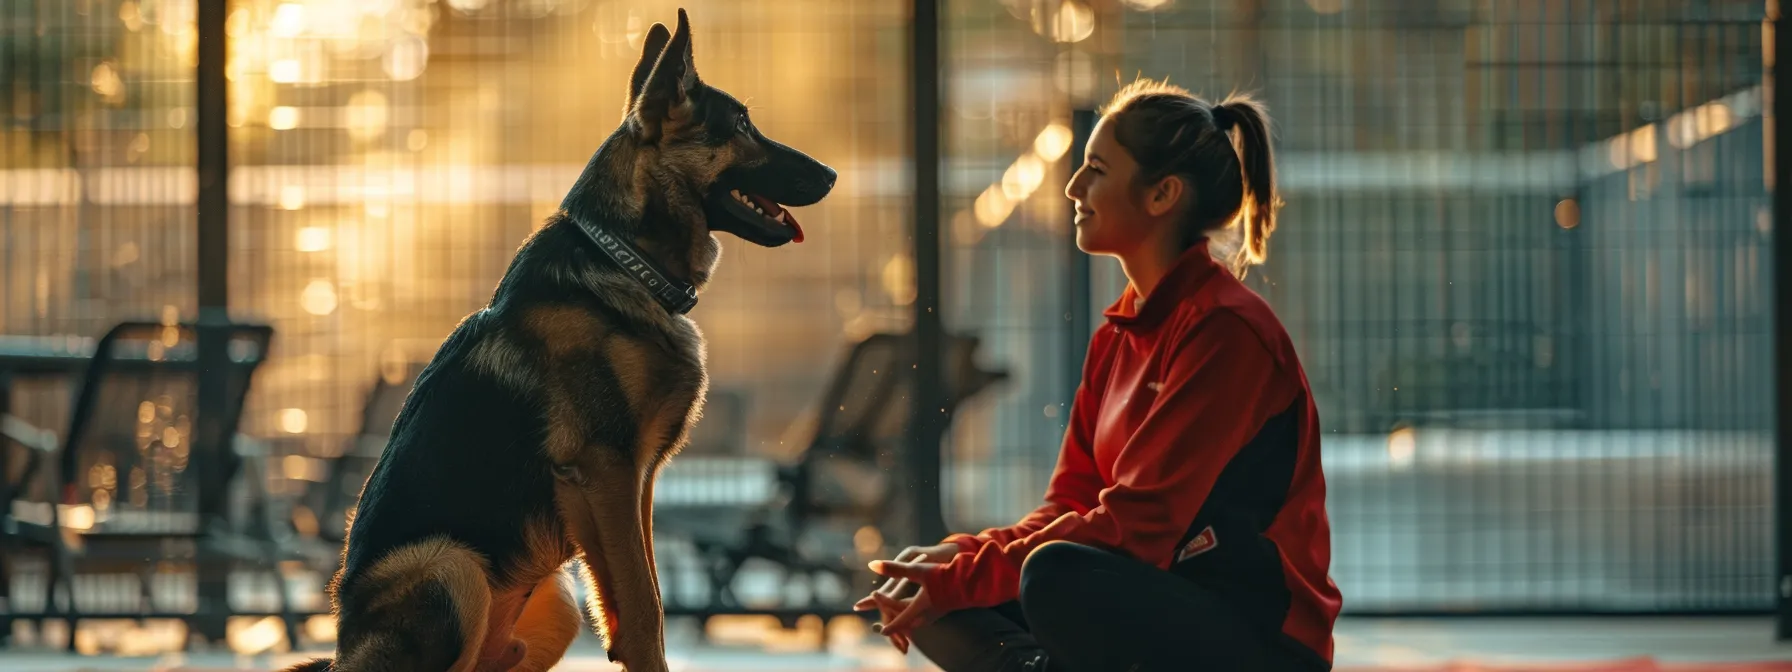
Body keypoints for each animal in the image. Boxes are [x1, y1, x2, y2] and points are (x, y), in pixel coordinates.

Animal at [283, 7, 835, 670]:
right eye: (744, 124)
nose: (832, 174)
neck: (624, 264)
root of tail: (343, 651)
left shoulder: (635, 482)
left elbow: (644, 592)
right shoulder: (604, 468)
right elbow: (644, 608)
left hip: (558, 603)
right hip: (451, 566)